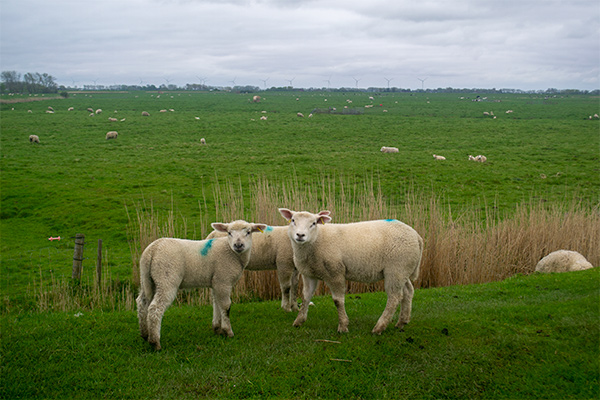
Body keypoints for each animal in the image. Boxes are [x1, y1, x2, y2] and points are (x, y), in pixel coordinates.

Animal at [137, 219, 268, 350]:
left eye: (249, 232)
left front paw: (217, 329)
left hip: (147, 279)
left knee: (142, 302)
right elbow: (226, 306)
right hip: (166, 278)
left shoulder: (216, 282)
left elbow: (216, 303)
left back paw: (145, 334)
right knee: (155, 308)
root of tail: (152, 249)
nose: (238, 245)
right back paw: (155, 342)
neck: (232, 253)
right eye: (229, 233)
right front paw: (228, 331)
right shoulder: (223, 279)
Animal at [278, 209, 424, 334]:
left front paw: (343, 326)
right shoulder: (309, 274)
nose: (300, 235)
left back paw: (379, 327)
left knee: (394, 297)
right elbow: (306, 297)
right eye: (292, 220)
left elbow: (338, 301)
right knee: (408, 291)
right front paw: (299, 321)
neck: (316, 240)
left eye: (313, 223)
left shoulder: (335, 272)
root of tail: (417, 236)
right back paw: (402, 322)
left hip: (396, 269)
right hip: (403, 270)